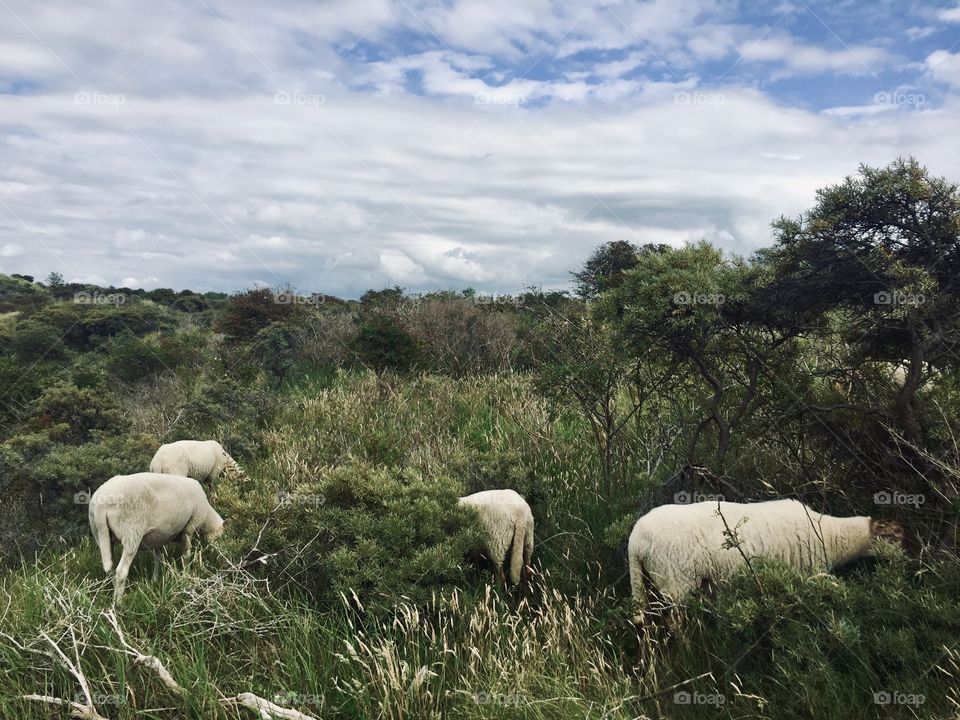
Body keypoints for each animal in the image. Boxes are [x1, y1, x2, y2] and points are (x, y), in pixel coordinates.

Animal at [89, 472, 224, 602]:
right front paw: (186, 576)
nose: (219, 554)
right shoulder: (189, 528)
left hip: (100, 535)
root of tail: (101, 505)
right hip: (132, 533)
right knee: (121, 571)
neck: (207, 517)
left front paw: (155, 580)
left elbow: (158, 559)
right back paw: (118, 602)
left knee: (111, 568)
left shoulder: (158, 538)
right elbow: (186, 555)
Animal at [628, 499, 914, 622]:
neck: (832, 537)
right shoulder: (807, 574)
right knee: (675, 624)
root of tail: (635, 541)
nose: (912, 558)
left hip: (649, 585)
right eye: (895, 537)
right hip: (676, 583)